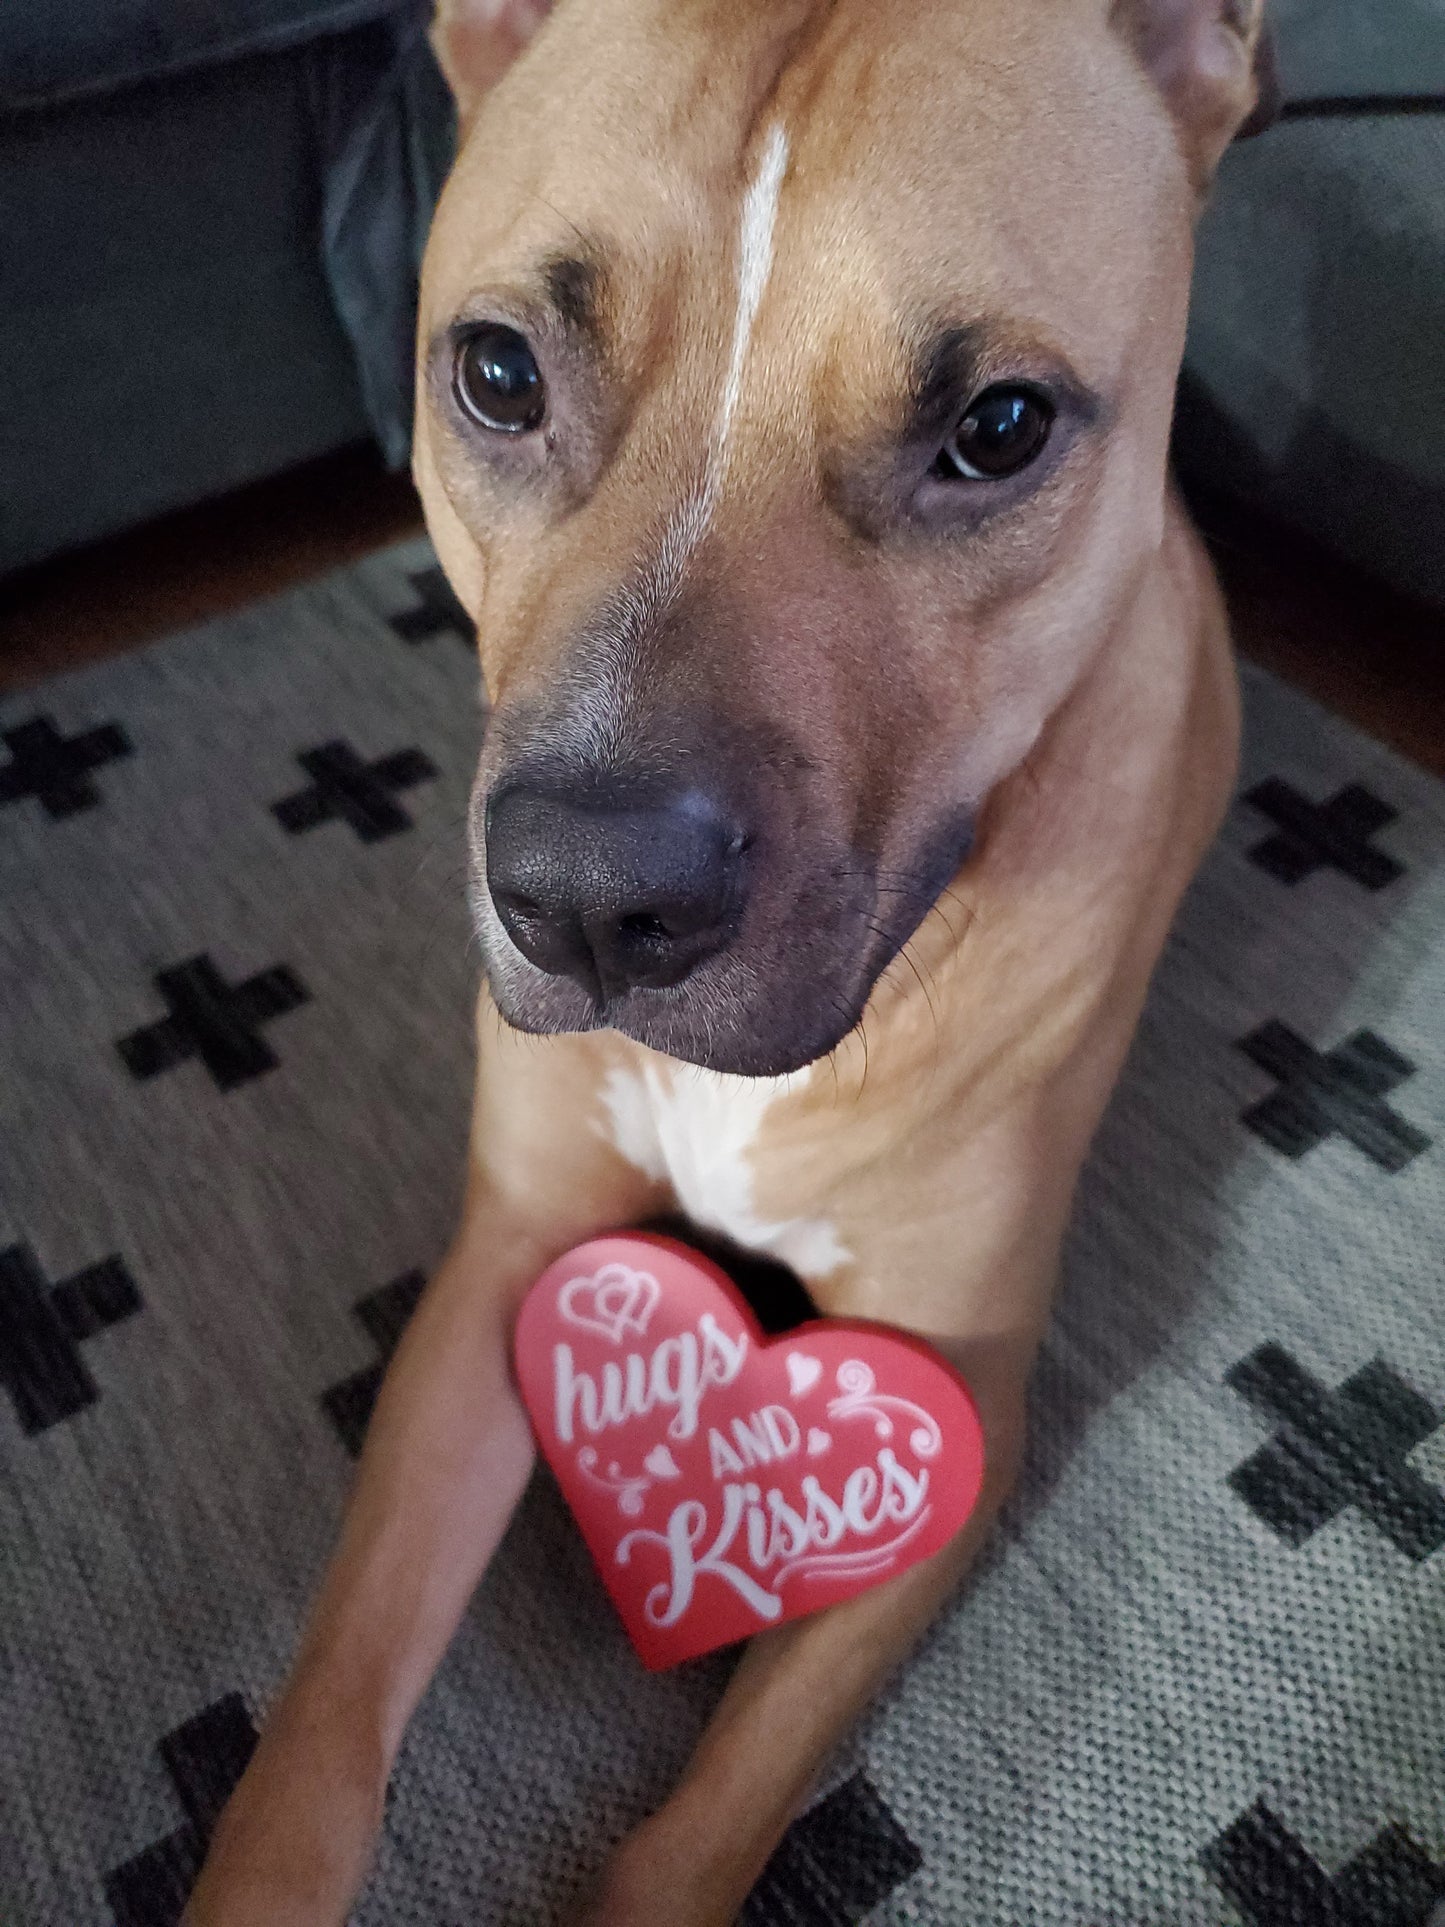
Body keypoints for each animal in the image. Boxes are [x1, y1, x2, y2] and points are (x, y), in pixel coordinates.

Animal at [186, 7, 1271, 1919]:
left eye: (999, 426)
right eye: (495, 374)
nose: (590, 901)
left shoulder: (949, 1401)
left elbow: (711, 1813)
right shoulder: (510, 1264)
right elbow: (320, 1720)